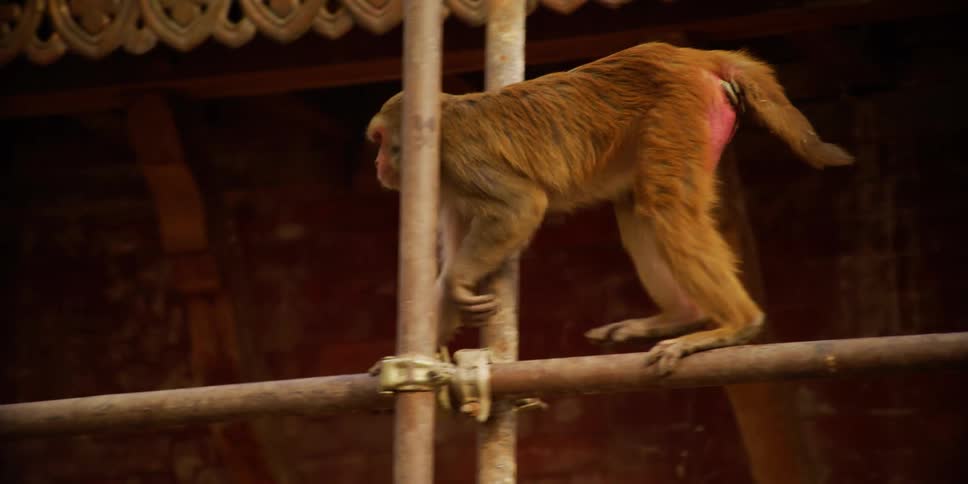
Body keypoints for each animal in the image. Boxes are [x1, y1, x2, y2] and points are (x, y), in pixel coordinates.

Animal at [366, 42, 853, 374]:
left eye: (381, 142)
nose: (377, 165)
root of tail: (689, 55)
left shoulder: (459, 159)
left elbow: (521, 206)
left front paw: (461, 283)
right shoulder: (447, 187)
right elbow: (452, 267)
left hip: (679, 106)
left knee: (667, 207)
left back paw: (737, 324)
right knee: (638, 207)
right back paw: (680, 316)